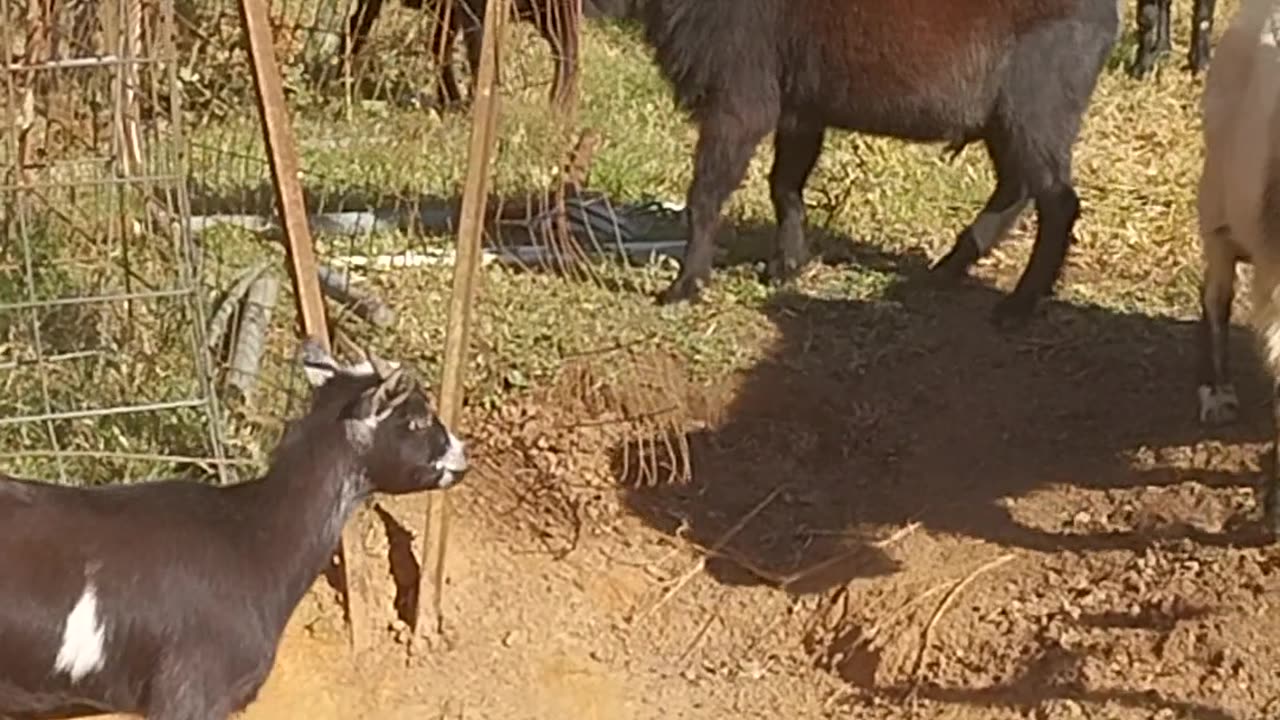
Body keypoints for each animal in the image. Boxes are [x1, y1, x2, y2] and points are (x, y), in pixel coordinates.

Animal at [640, 0, 1121, 322]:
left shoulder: (739, 102)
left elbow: (705, 195)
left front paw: (683, 287)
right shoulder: (802, 109)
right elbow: (785, 185)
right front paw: (786, 266)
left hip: (1036, 109)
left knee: (1057, 203)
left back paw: (1018, 305)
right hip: (1009, 121)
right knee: (1017, 187)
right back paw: (946, 271)